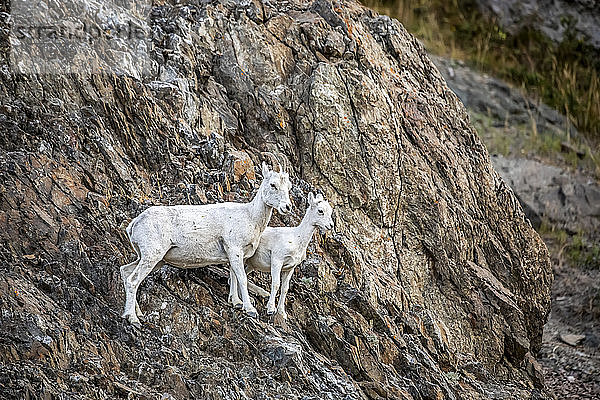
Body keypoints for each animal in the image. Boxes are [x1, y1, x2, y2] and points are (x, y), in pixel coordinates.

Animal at [118, 161, 292, 326]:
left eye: (288, 186)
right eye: (273, 184)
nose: (287, 207)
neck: (251, 217)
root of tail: (134, 224)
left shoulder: (236, 255)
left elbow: (234, 277)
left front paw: (236, 302)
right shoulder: (235, 250)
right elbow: (242, 278)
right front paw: (250, 310)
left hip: (155, 260)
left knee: (125, 272)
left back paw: (135, 314)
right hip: (152, 256)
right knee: (133, 280)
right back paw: (133, 319)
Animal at [246, 192, 336, 320]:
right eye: (320, 211)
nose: (330, 225)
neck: (296, 239)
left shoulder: (289, 268)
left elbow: (285, 288)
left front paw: (282, 313)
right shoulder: (277, 262)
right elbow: (276, 284)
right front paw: (270, 309)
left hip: (252, 265)